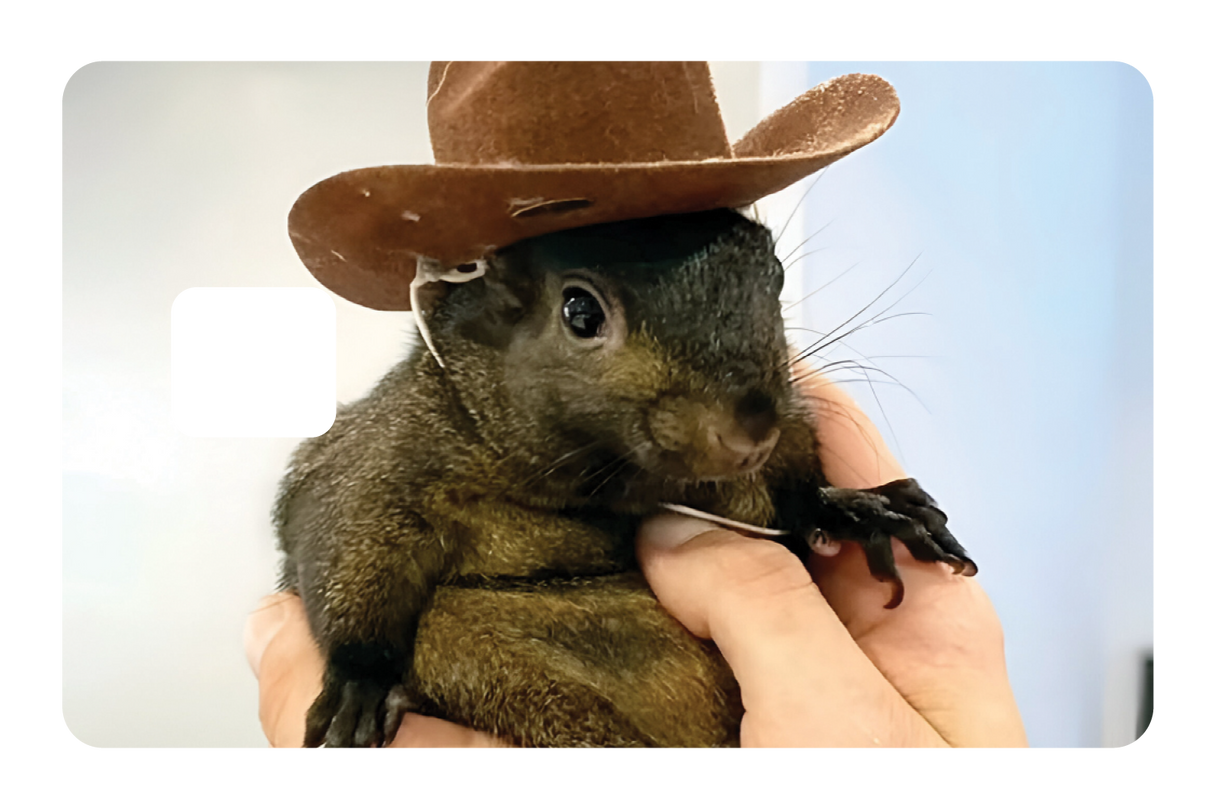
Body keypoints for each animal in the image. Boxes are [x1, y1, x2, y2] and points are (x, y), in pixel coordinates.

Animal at [273, 205, 976, 748]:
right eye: (580, 313)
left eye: (774, 277)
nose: (751, 430)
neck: (607, 482)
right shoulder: (384, 454)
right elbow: (345, 536)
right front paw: (359, 682)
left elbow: (792, 497)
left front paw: (854, 508)